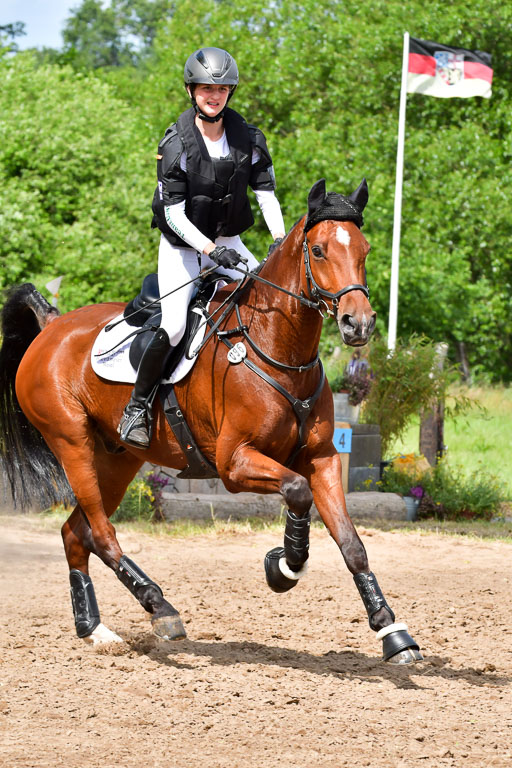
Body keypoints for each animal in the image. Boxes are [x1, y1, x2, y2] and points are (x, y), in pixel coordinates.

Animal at [0, 178, 422, 664]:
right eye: (318, 251)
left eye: (365, 249)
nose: (359, 324)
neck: (277, 349)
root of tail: (52, 325)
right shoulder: (234, 463)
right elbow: (297, 491)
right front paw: (284, 565)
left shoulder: (322, 458)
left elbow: (352, 544)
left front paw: (392, 632)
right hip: (73, 444)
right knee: (101, 534)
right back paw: (160, 607)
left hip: (118, 459)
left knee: (76, 533)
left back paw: (95, 629)